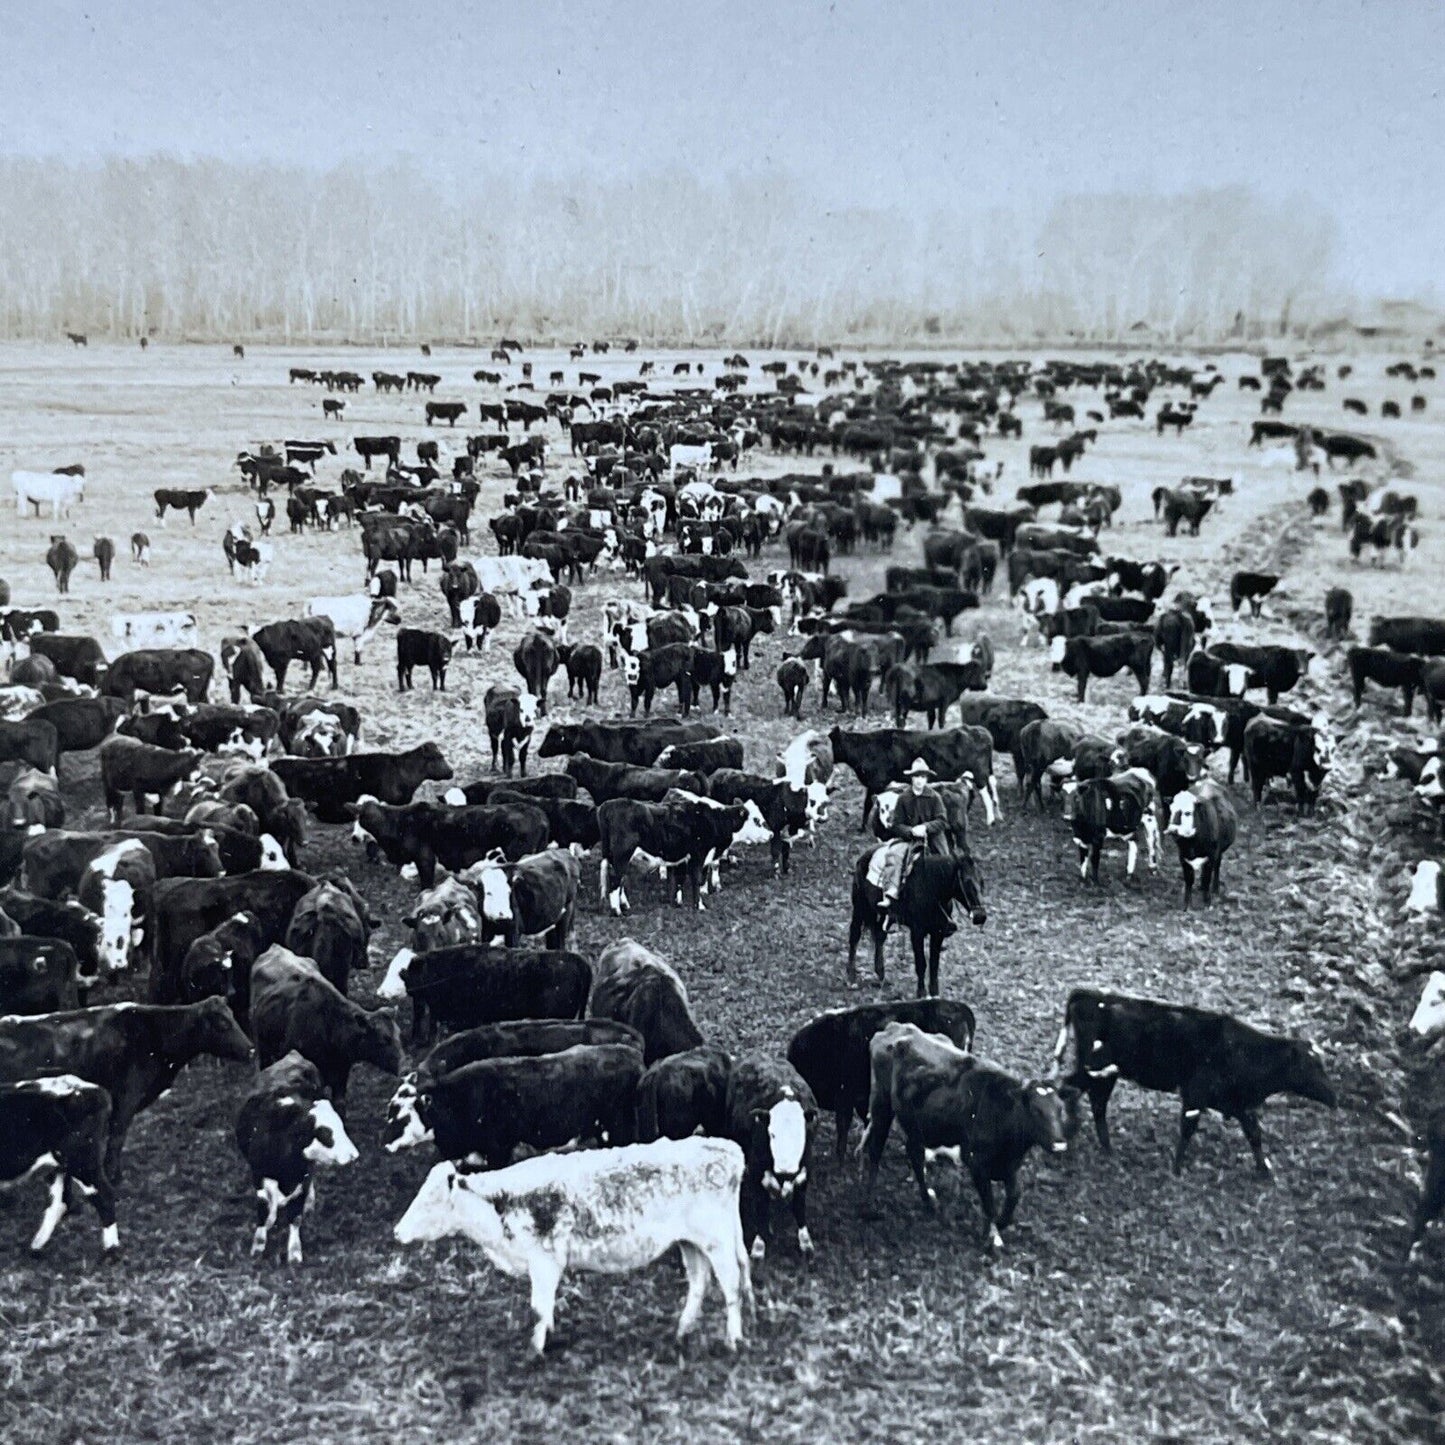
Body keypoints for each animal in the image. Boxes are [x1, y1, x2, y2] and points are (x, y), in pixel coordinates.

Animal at [0, 1080, 117, 1260]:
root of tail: (90, 1088)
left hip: (82, 1164)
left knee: (105, 1197)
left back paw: (111, 1253)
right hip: (57, 1168)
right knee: (59, 1204)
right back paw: (36, 1246)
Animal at [395, 1138, 757, 1352]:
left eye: (430, 1201)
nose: (398, 1231)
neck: (501, 1204)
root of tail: (725, 1148)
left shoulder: (544, 1261)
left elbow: (538, 1306)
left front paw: (536, 1350)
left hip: (716, 1242)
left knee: (731, 1286)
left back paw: (733, 1339)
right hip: (690, 1242)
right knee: (698, 1282)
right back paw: (682, 1332)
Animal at [855, 1017, 1075, 1254]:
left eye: (1060, 1109)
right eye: (1036, 1110)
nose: (1059, 1145)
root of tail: (896, 1027)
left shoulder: (1009, 1164)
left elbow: (1015, 1194)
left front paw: (1002, 1223)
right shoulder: (976, 1162)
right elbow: (989, 1203)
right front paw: (992, 1237)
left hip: (916, 1124)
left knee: (915, 1155)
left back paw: (928, 1200)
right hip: (881, 1105)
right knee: (875, 1151)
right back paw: (868, 1206)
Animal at [1051, 988, 1329, 1179]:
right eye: (1310, 1066)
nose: (1334, 1096)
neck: (1244, 1051)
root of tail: (1088, 994)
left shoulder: (1241, 1105)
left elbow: (1255, 1135)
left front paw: (1265, 1172)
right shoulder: (1195, 1097)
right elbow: (1187, 1131)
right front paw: (1176, 1169)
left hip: (1102, 1074)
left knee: (1083, 1097)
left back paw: (1099, 1145)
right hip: (1095, 1070)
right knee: (1077, 1094)